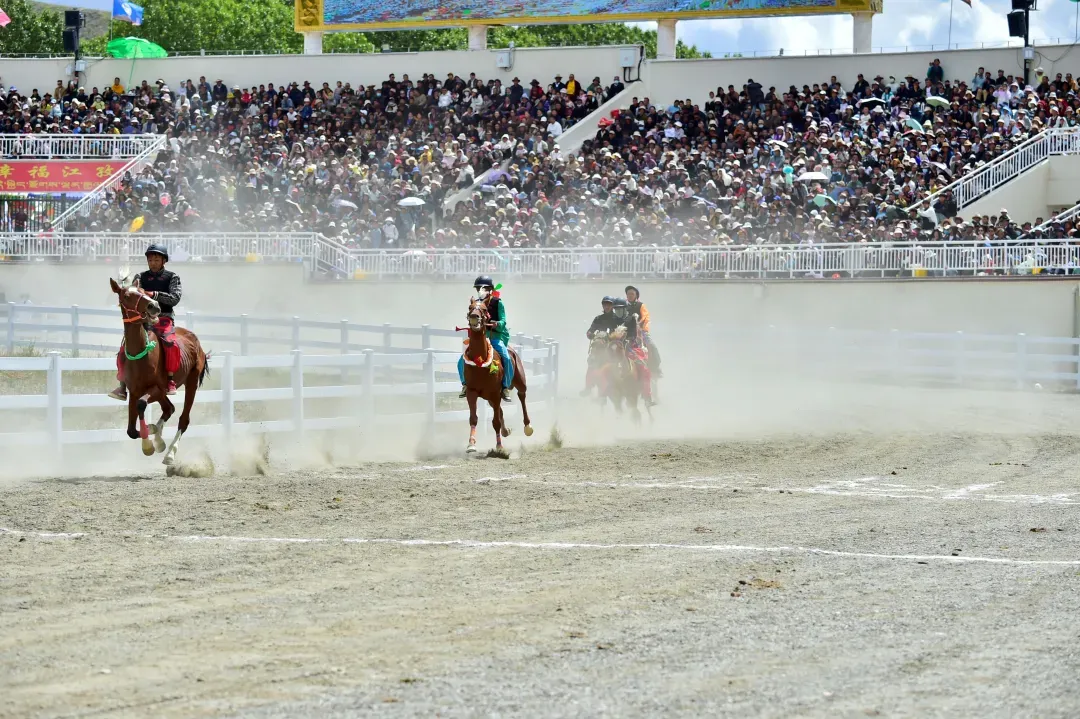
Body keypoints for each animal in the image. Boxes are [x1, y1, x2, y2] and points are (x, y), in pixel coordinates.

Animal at [110, 277, 210, 465]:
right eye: (126, 296)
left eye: (143, 291)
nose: (154, 305)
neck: (141, 352)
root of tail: (195, 341)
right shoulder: (134, 391)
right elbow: (131, 430)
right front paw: (152, 436)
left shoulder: (156, 389)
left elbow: (142, 405)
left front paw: (148, 442)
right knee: (169, 408)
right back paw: (159, 440)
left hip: (191, 382)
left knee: (183, 419)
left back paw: (169, 453)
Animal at [460, 297, 532, 455]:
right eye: (470, 307)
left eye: (484, 309)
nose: (474, 317)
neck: (480, 362)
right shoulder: (472, 392)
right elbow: (473, 418)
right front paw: (471, 444)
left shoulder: (495, 393)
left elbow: (496, 422)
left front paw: (499, 447)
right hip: (491, 397)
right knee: (500, 411)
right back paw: (506, 431)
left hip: (519, 382)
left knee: (522, 396)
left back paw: (528, 426)